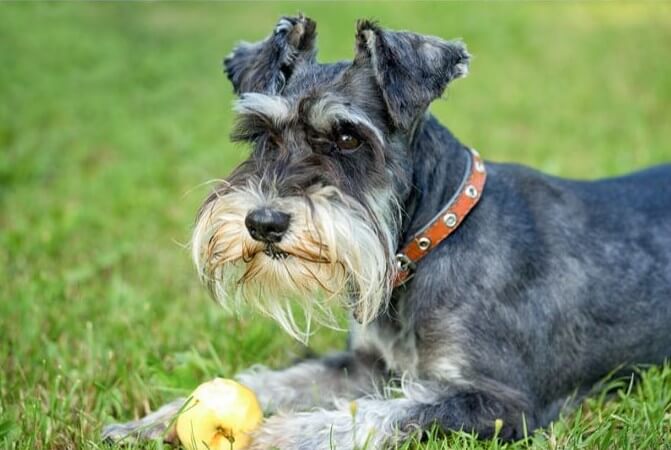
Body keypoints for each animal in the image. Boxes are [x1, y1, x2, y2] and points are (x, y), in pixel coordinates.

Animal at [102, 14, 671, 450]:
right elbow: (277, 381)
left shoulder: (502, 401)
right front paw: (160, 418)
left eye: (348, 138)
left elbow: (385, 414)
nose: (263, 223)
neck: (432, 240)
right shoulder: (364, 365)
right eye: (263, 134)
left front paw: (283, 434)